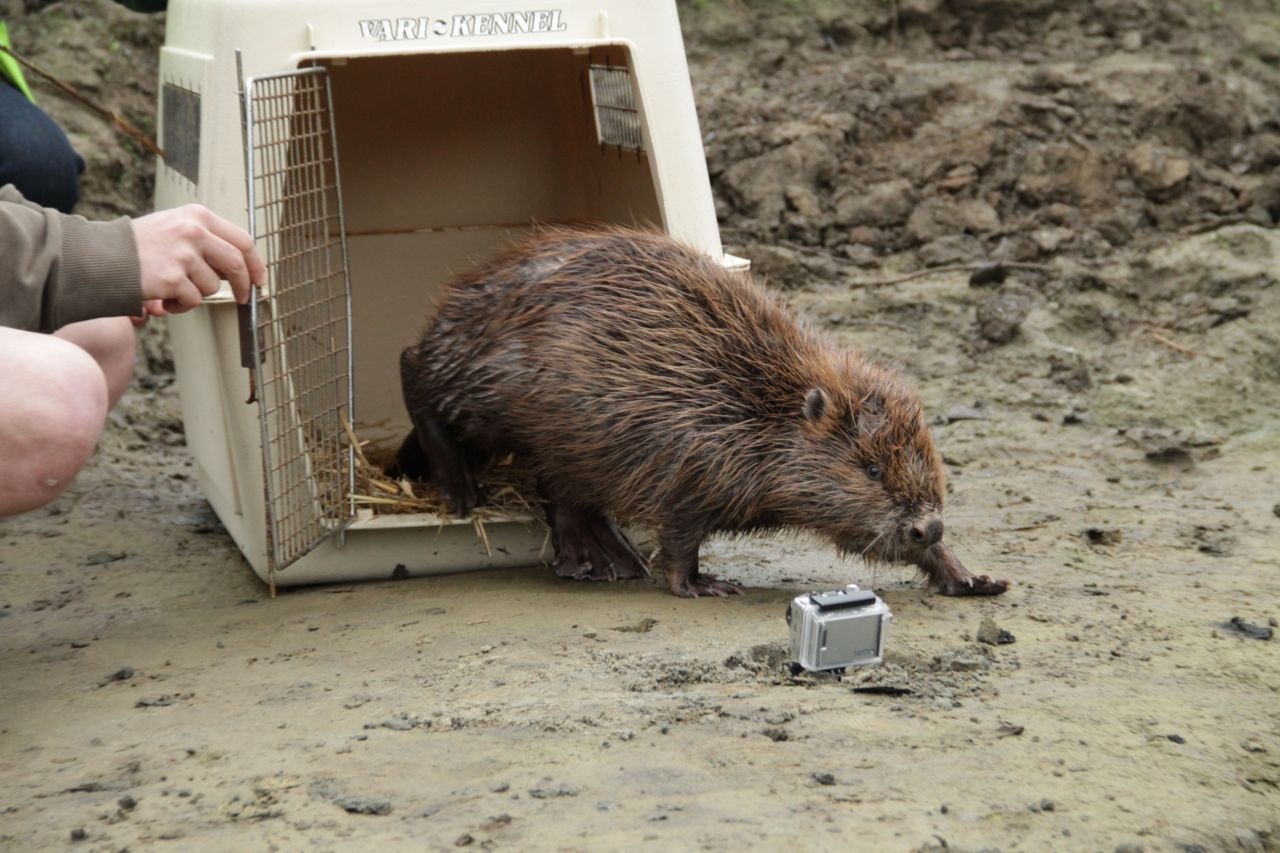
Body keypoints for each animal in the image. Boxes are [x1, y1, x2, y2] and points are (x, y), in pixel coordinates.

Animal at [394, 225, 1013, 596]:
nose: (928, 526)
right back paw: (460, 489)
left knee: (562, 490)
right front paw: (700, 583)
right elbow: (680, 529)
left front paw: (972, 576)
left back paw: (602, 559)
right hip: (486, 388)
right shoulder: (689, 457)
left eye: (929, 460)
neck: (758, 404)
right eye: (873, 468)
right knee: (416, 372)